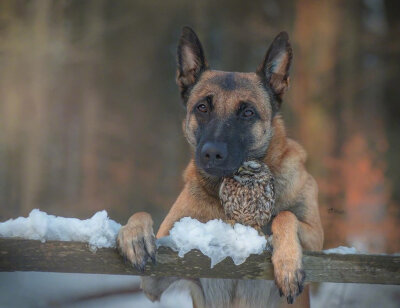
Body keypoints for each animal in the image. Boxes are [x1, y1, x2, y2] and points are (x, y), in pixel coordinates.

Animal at [117, 27, 324, 308]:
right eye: (202, 107)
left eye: (247, 112)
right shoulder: (160, 276)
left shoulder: (317, 239)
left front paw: (288, 263)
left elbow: (285, 215)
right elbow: (141, 213)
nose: (211, 154)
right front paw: (134, 236)